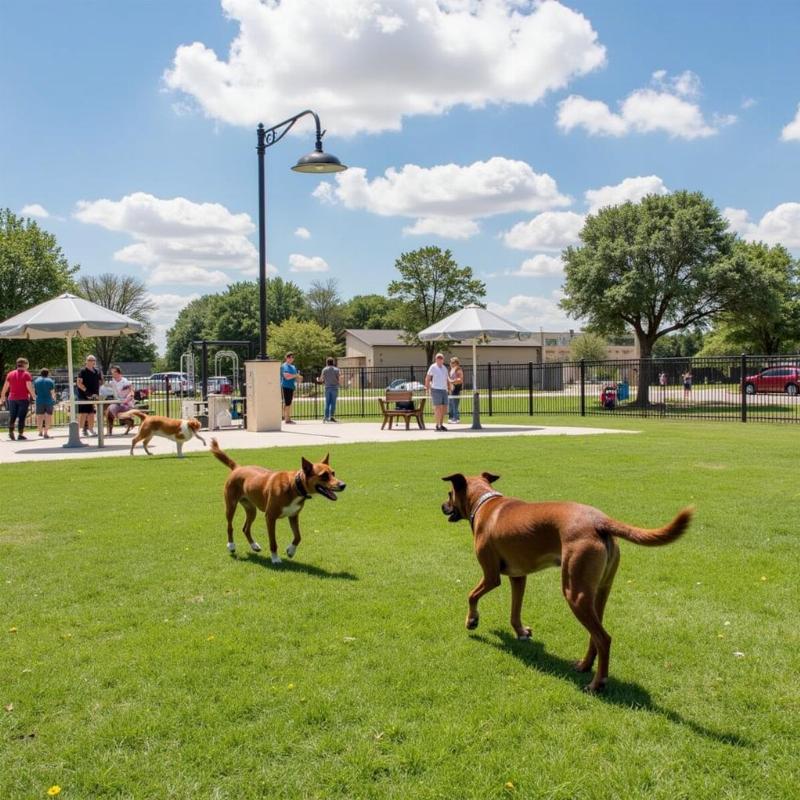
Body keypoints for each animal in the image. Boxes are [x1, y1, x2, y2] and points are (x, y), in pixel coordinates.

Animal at [209, 438, 344, 564]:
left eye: (333, 473)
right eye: (324, 476)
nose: (343, 485)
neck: (294, 485)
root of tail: (237, 467)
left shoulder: (293, 516)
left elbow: (298, 536)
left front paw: (291, 551)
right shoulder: (270, 517)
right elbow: (273, 541)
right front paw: (275, 559)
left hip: (251, 509)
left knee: (245, 528)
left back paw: (254, 545)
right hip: (231, 505)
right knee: (229, 527)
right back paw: (231, 545)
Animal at [440, 472, 692, 692]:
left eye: (449, 493)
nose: (442, 506)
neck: (484, 502)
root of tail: (600, 520)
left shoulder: (491, 576)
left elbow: (471, 594)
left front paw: (472, 620)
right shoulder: (519, 577)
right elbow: (515, 611)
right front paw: (521, 631)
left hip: (574, 593)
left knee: (604, 638)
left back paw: (597, 683)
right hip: (598, 592)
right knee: (595, 636)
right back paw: (584, 665)